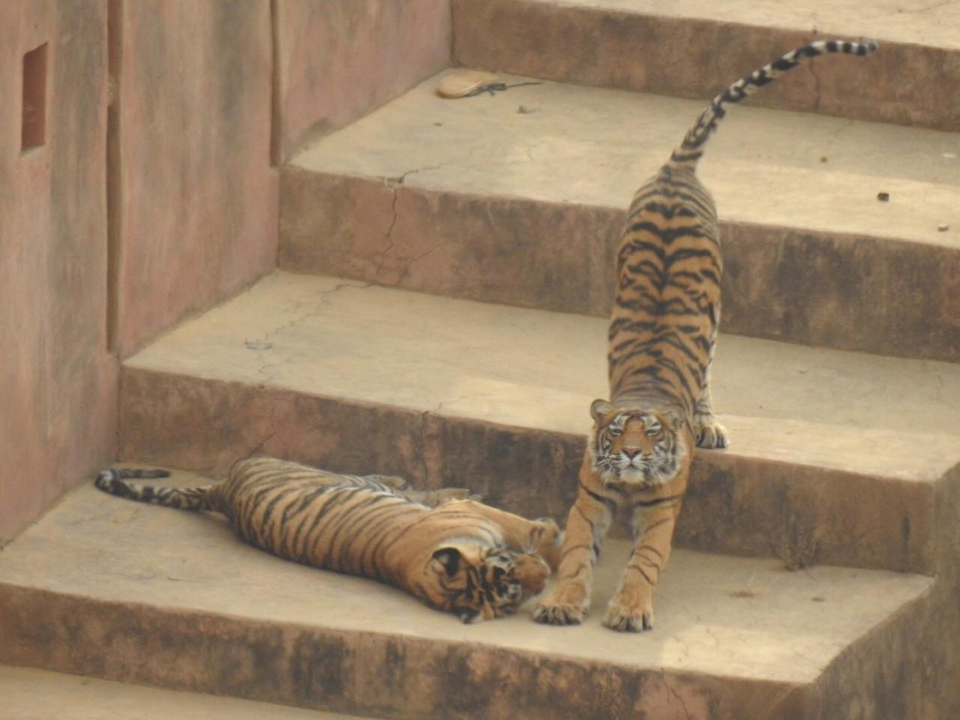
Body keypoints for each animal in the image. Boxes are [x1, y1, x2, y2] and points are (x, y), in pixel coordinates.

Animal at [95, 456, 562, 623]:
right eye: (511, 589)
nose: (542, 581)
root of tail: (222, 491)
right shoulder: (474, 520)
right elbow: (522, 526)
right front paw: (551, 535)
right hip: (336, 475)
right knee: (388, 481)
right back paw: (418, 483)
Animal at [533, 39, 879, 632]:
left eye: (650, 435)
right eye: (616, 433)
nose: (630, 455)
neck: (629, 485)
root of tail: (676, 171)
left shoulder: (660, 511)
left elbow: (644, 562)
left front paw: (628, 611)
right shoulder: (588, 501)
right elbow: (577, 555)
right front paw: (562, 603)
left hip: (716, 310)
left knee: (709, 372)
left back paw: (709, 422)